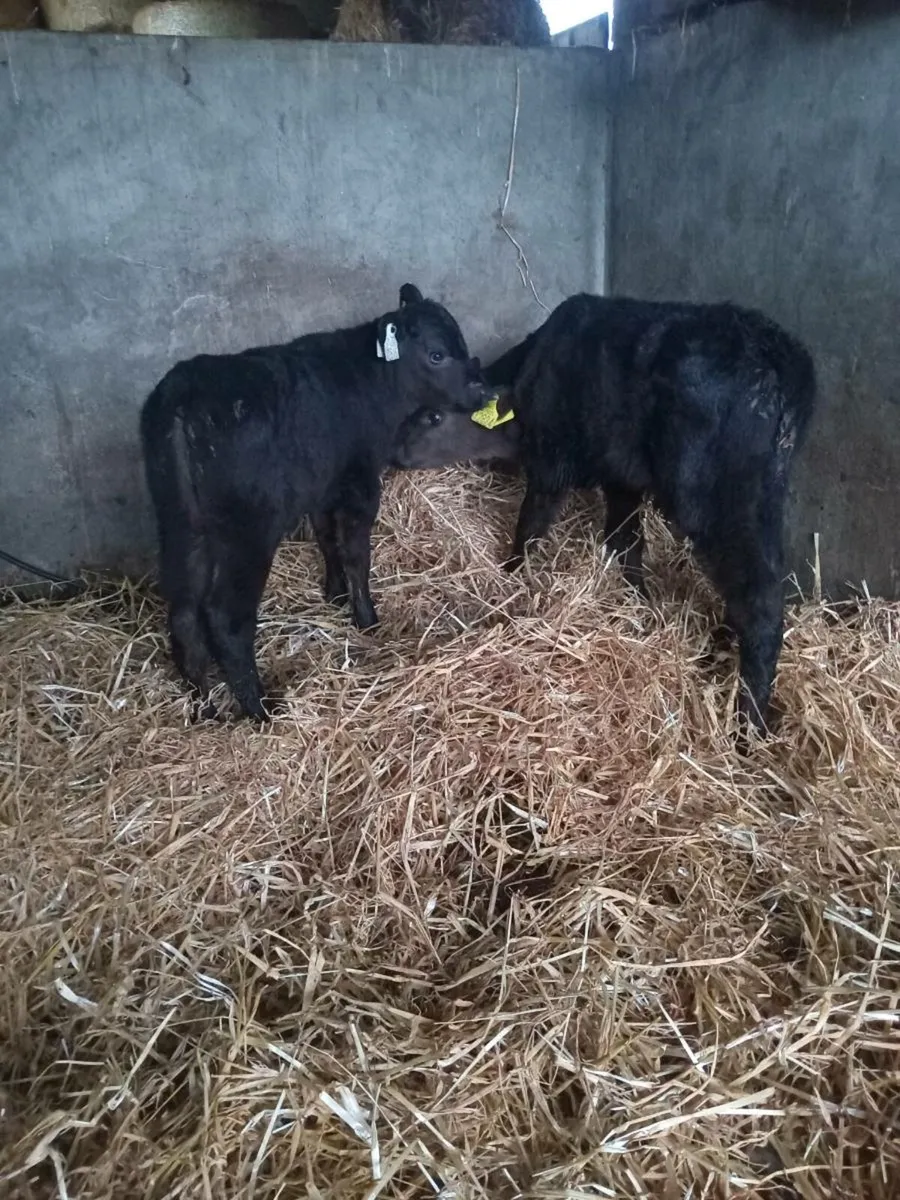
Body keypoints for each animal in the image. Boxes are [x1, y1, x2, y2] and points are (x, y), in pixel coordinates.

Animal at [140, 283, 485, 722]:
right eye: (437, 354)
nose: (481, 391)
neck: (374, 380)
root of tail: (182, 397)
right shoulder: (360, 482)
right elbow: (355, 553)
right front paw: (366, 618)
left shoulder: (325, 484)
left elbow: (325, 538)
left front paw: (334, 593)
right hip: (247, 534)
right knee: (226, 619)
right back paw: (259, 709)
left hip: (181, 526)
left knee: (183, 614)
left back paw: (206, 708)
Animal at [495, 293, 816, 738]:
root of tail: (780, 362)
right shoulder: (622, 476)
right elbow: (625, 540)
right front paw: (639, 606)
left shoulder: (551, 456)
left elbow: (532, 523)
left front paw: (511, 573)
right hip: (762, 496)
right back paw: (718, 651)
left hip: (717, 497)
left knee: (759, 603)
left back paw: (747, 727)